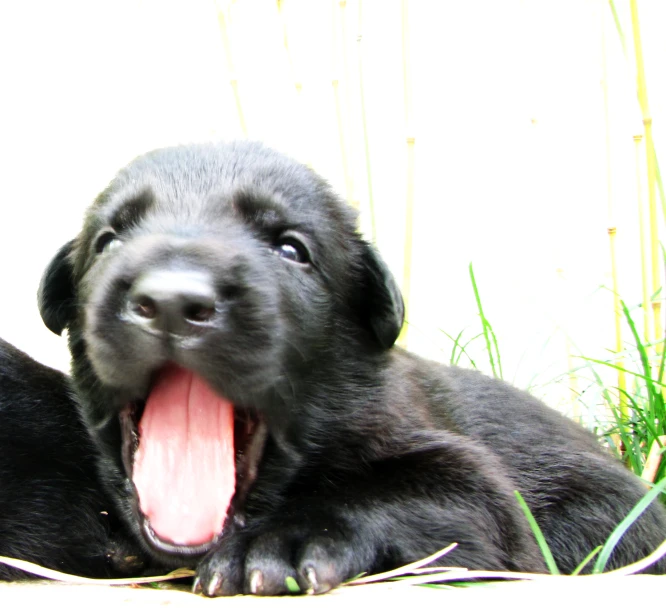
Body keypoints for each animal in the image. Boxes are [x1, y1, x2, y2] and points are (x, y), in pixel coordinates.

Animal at [37, 142, 664, 596]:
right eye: (108, 240)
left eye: (292, 249)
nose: (171, 302)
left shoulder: (477, 482)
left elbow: (407, 490)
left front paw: (281, 544)